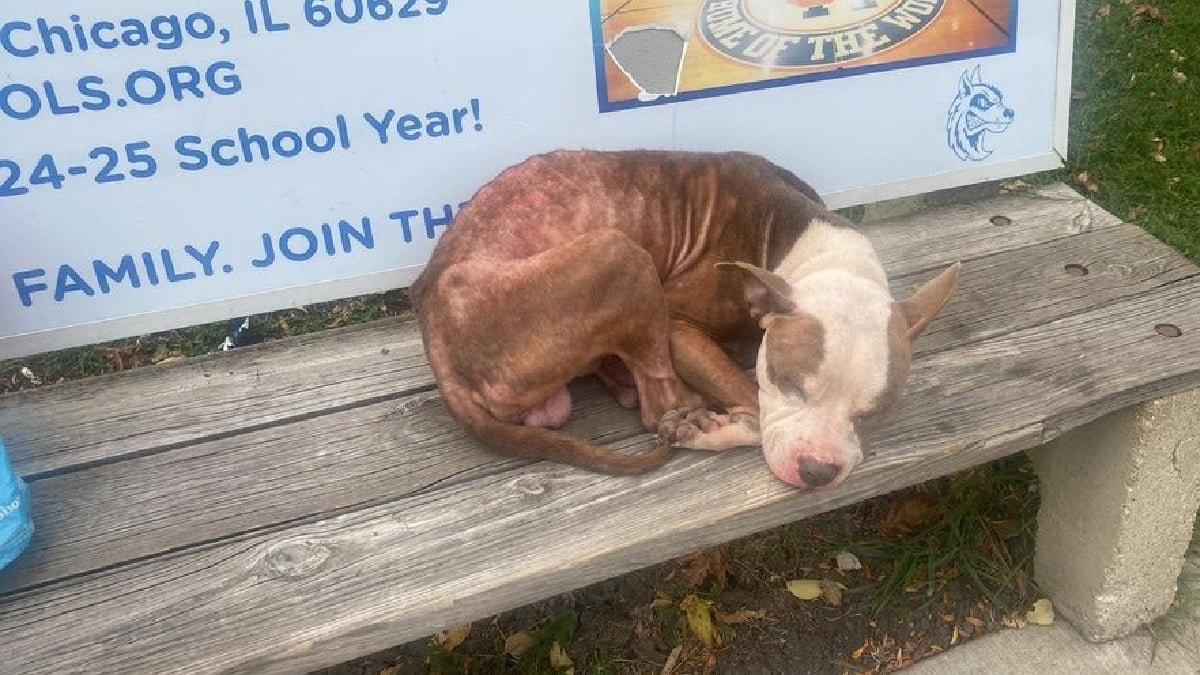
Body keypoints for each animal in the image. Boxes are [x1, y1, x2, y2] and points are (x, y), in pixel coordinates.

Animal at [410, 149, 955, 485]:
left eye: (873, 412)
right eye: (790, 384)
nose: (818, 471)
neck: (814, 249)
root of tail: (431, 324)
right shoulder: (680, 329)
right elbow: (755, 406)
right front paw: (714, 428)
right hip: (622, 255)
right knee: (658, 405)